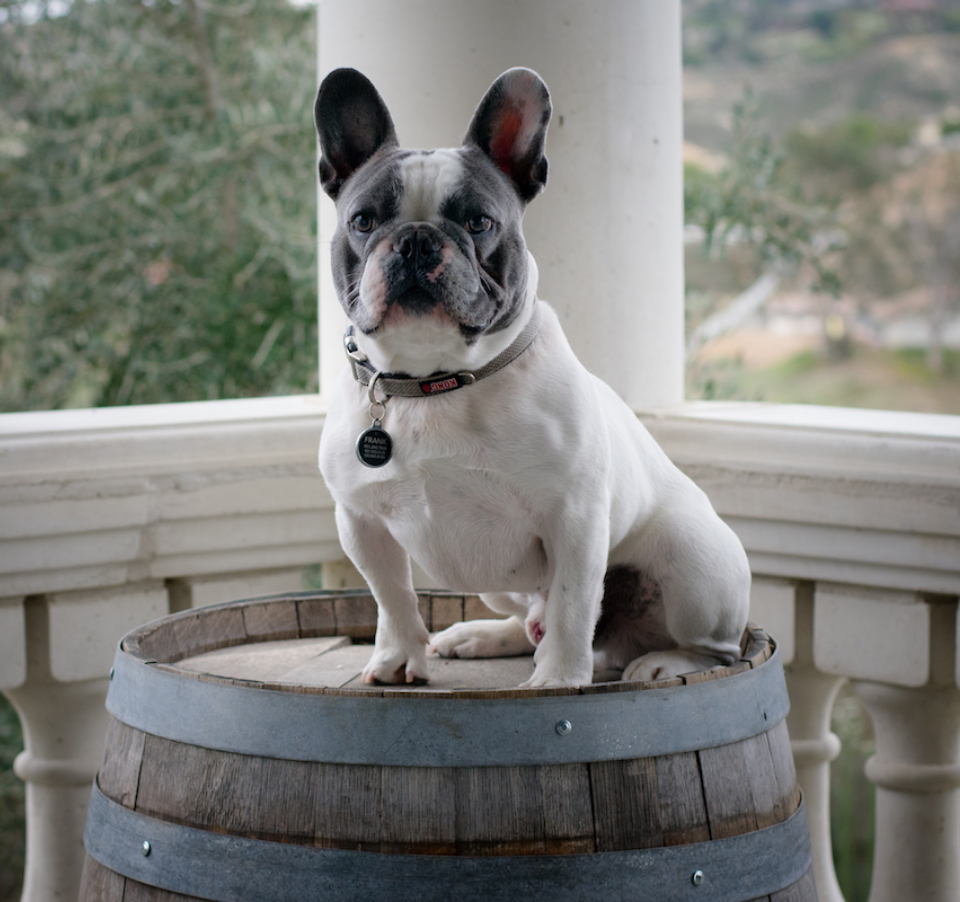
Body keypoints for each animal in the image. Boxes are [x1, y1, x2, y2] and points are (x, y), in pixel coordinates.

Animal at [314, 67, 752, 688]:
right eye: (363, 221)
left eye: (479, 222)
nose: (417, 239)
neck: (436, 385)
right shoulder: (360, 523)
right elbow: (392, 597)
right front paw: (398, 658)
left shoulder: (575, 519)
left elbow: (572, 602)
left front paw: (559, 683)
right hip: (502, 589)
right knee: (532, 622)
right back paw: (480, 636)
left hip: (692, 561)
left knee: (710, 647)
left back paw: (661, 663)